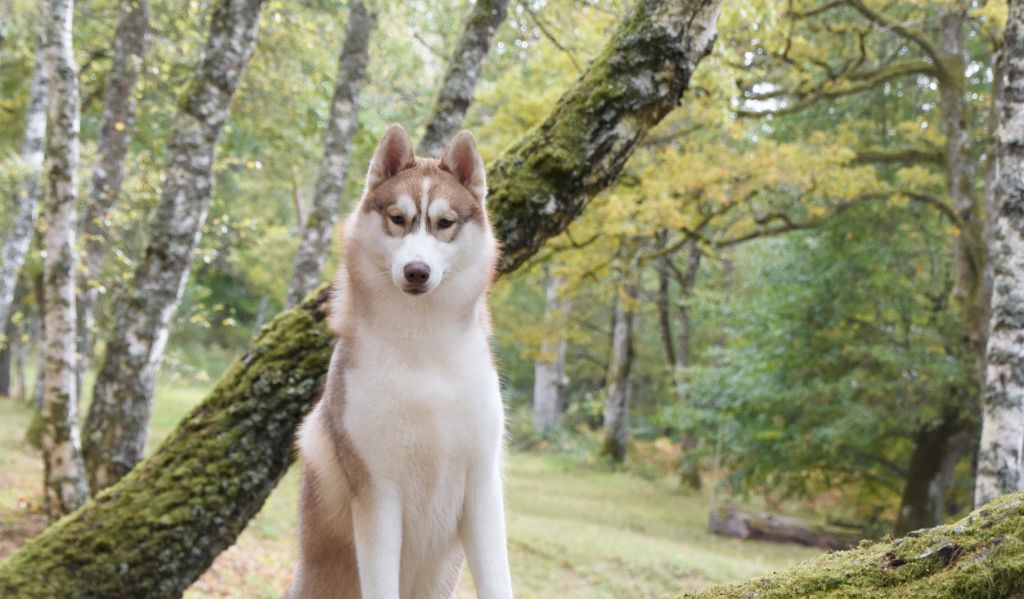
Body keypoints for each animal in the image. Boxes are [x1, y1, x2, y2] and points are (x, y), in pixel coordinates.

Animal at [284, 124, 513, 599]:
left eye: (444, 223)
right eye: (397, 218)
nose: (416, 270)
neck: (421, 347)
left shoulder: (482, 484)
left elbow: (498, 580)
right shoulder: (377, 492)